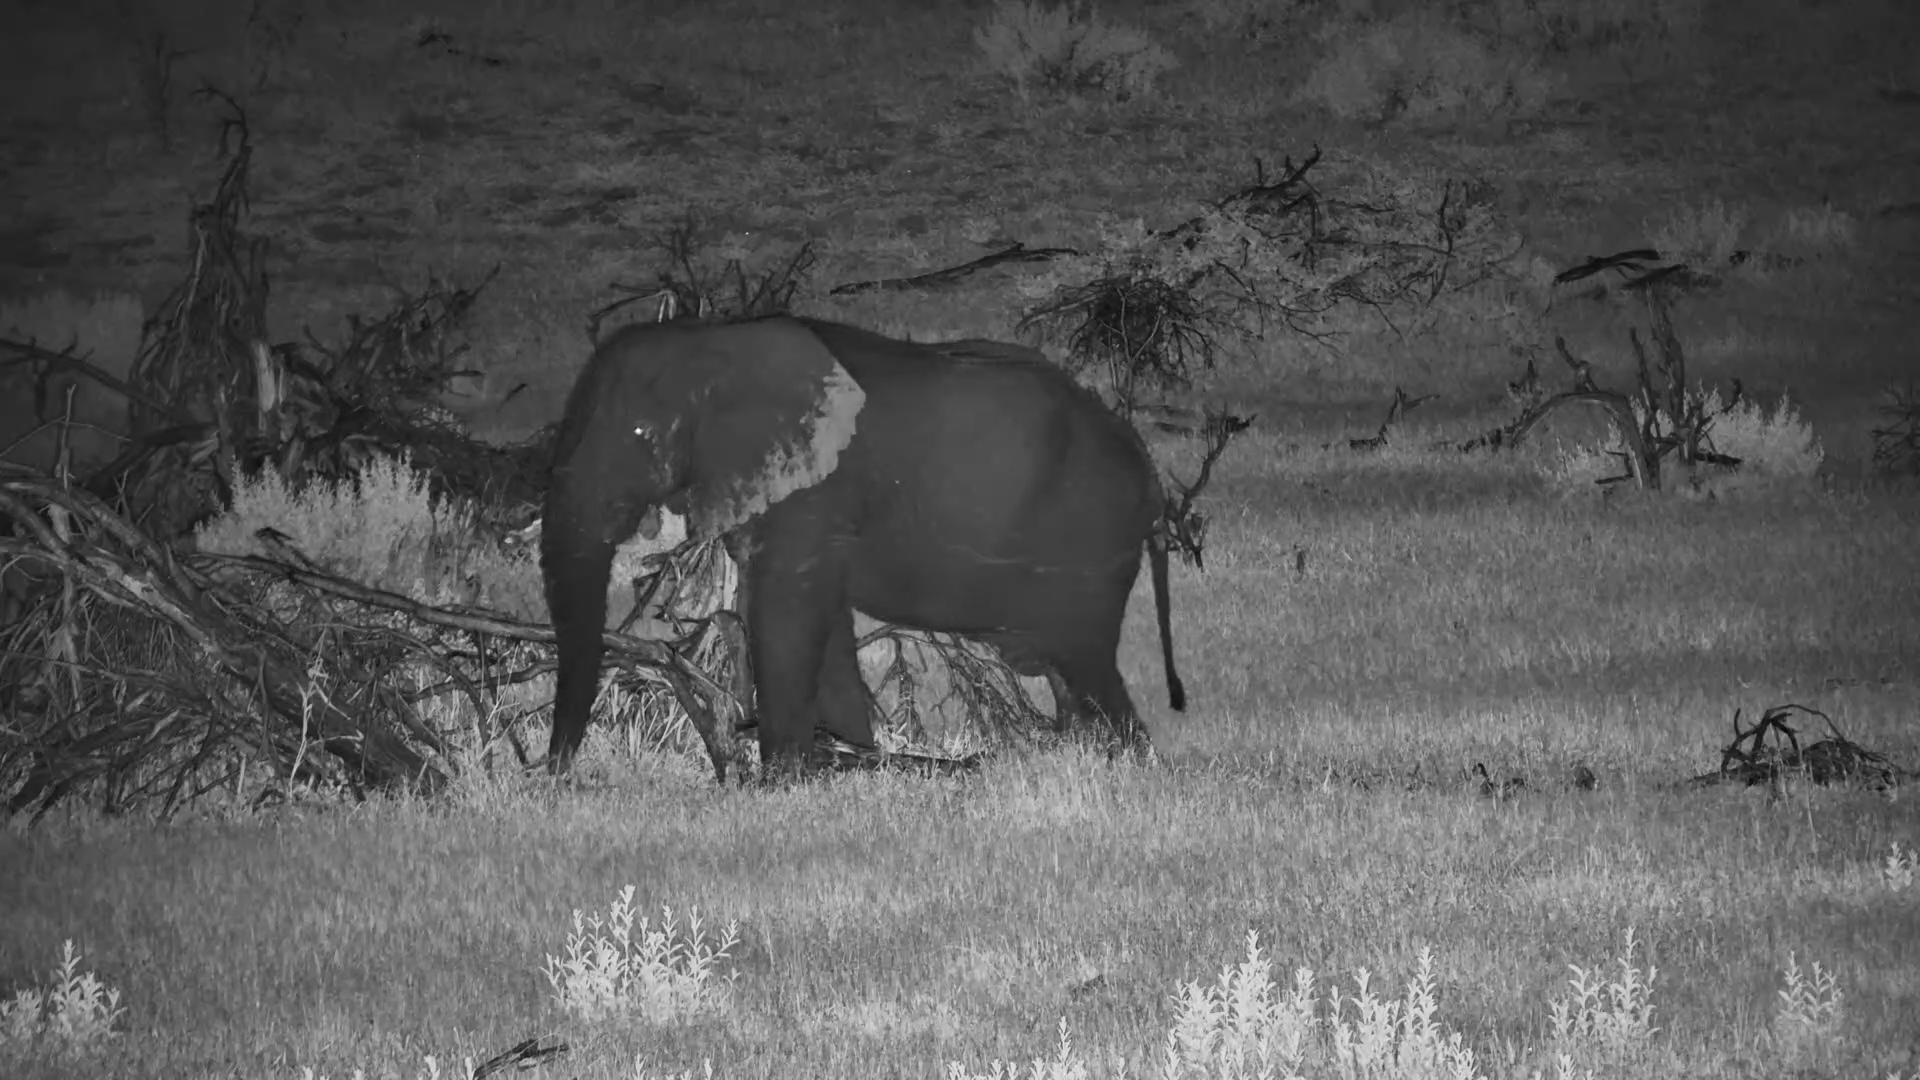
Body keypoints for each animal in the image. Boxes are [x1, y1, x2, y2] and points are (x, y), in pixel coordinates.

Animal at [540, 314, 1186, 775]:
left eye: (642, 435)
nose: (557, 776)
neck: (710, 339)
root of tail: (1153, 480)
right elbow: (813, 618)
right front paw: (848, 761)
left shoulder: (814, 492)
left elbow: (787, 614)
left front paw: (782, 781)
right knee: (1068, 669)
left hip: (1088, 543)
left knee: (1086, 660)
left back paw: (1136, 761)